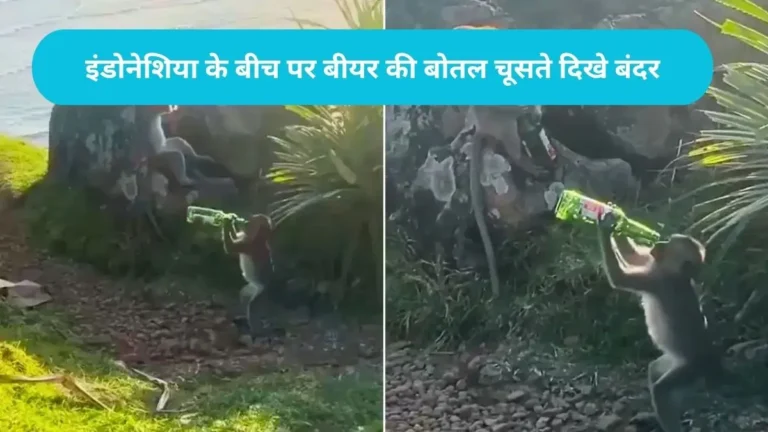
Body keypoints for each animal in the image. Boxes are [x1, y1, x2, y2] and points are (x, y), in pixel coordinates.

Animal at [221, 213, 275, 344]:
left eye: (251, 221)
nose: (246, 220)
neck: (259, 238)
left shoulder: (248, 245)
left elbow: (230, 247)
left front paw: (227, 221)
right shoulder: (246, 239)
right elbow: (237, 236)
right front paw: (232, 219)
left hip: (260, 294)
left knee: (253, 308)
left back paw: (256, 332)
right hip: (251, 288)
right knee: (244, 296)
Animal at [596, 211, 723, 432]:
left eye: (668, 245)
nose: (658, 243)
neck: (674, 273)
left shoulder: (658, 281)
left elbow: (619, 278)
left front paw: (607, 226)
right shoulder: (654, 266)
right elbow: (635, 256)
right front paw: (619, 220)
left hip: (690, 368)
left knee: (662, 389)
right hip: (673, 361)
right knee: (655, 371)